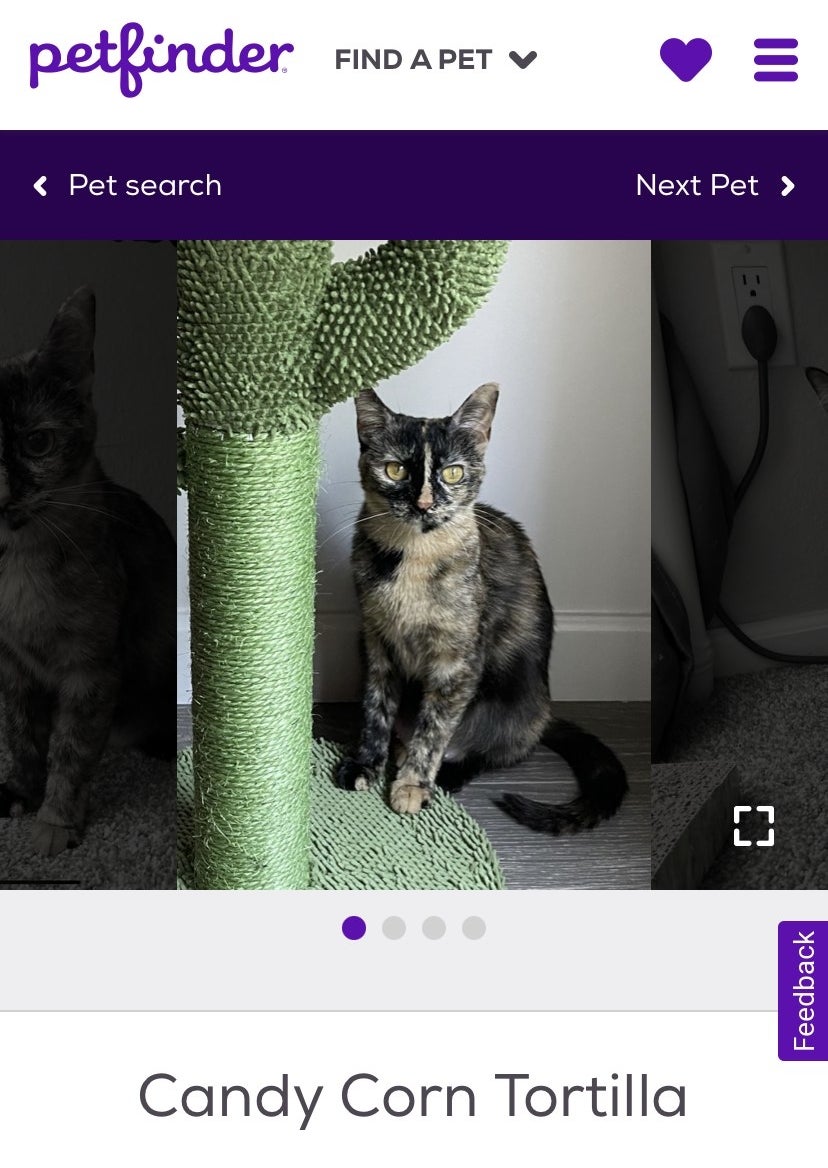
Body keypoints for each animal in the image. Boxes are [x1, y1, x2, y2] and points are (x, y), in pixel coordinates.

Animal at [0, 287, 174, 854]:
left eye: (38, 443)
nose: (3, 492)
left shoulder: (90, 669)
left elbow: (71, 749)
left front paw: (55, 821)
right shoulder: (13, 665)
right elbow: (21, 735)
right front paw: (21, 791)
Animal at [336, 383, 625, 831]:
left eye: (453, 473)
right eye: (395, 470)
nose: (424, 504)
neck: (412, 557)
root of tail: (545, 714)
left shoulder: (457, 661)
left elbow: (434, 729)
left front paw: (412, 785)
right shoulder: (375, 639)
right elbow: (375, 707)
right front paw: (366, 763)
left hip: (514, 703)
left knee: (499, 751)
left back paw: (445, 774)